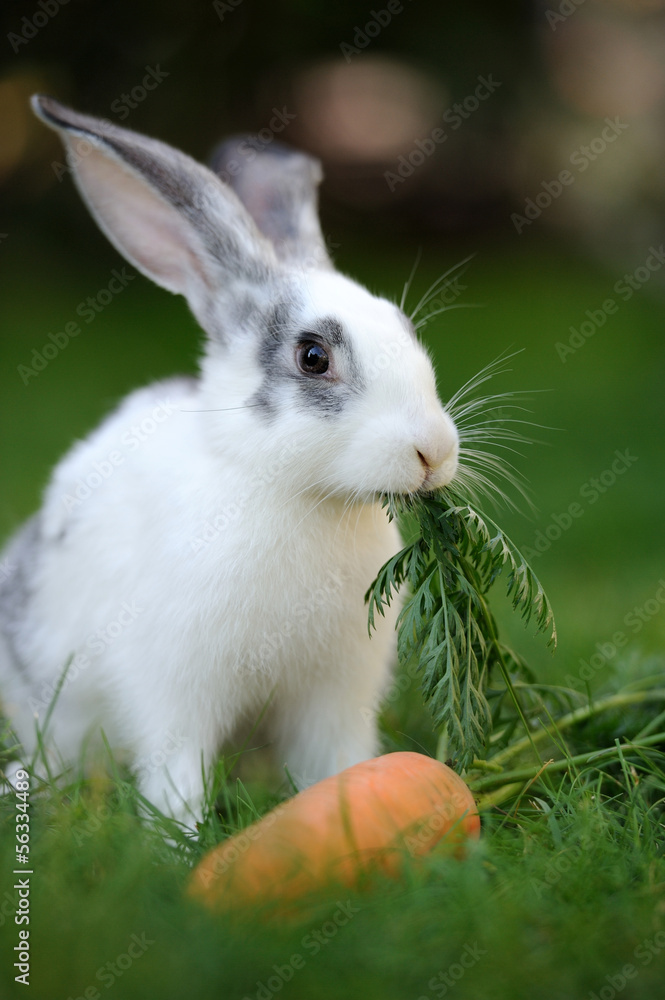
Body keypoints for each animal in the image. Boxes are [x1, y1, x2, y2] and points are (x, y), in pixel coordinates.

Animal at [0, 96, 459, 827]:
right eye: (312, 357)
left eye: (404, 328)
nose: (433, 452)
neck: (297, 494)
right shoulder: (174, 691)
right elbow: (175, 773)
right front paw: (178, 843)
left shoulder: (333, 699)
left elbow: (335, 762)